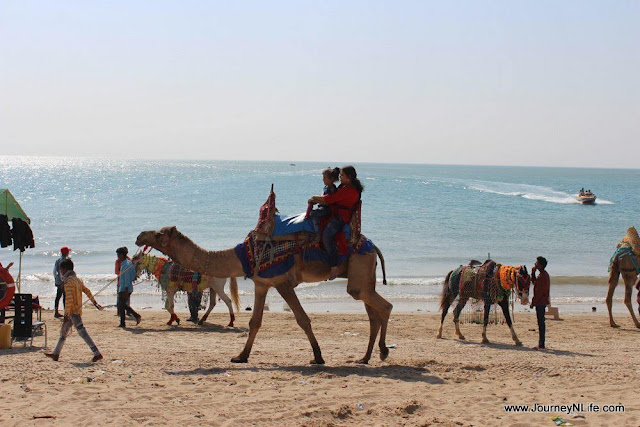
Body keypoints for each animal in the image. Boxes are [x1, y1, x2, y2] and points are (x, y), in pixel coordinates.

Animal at [137, 192, 390, 366]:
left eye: (158, 234)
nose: (139, 236)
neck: (243, 256)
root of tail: (373, 247)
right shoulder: (261, 284)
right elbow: (255, 322)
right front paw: (241, 356)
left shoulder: (281, 282)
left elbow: (303, 319)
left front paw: (318, 357)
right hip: (363, 274)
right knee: (372, 313)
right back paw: (365, 357)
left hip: (359, 267)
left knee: (383, 306)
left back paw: (383, 351)